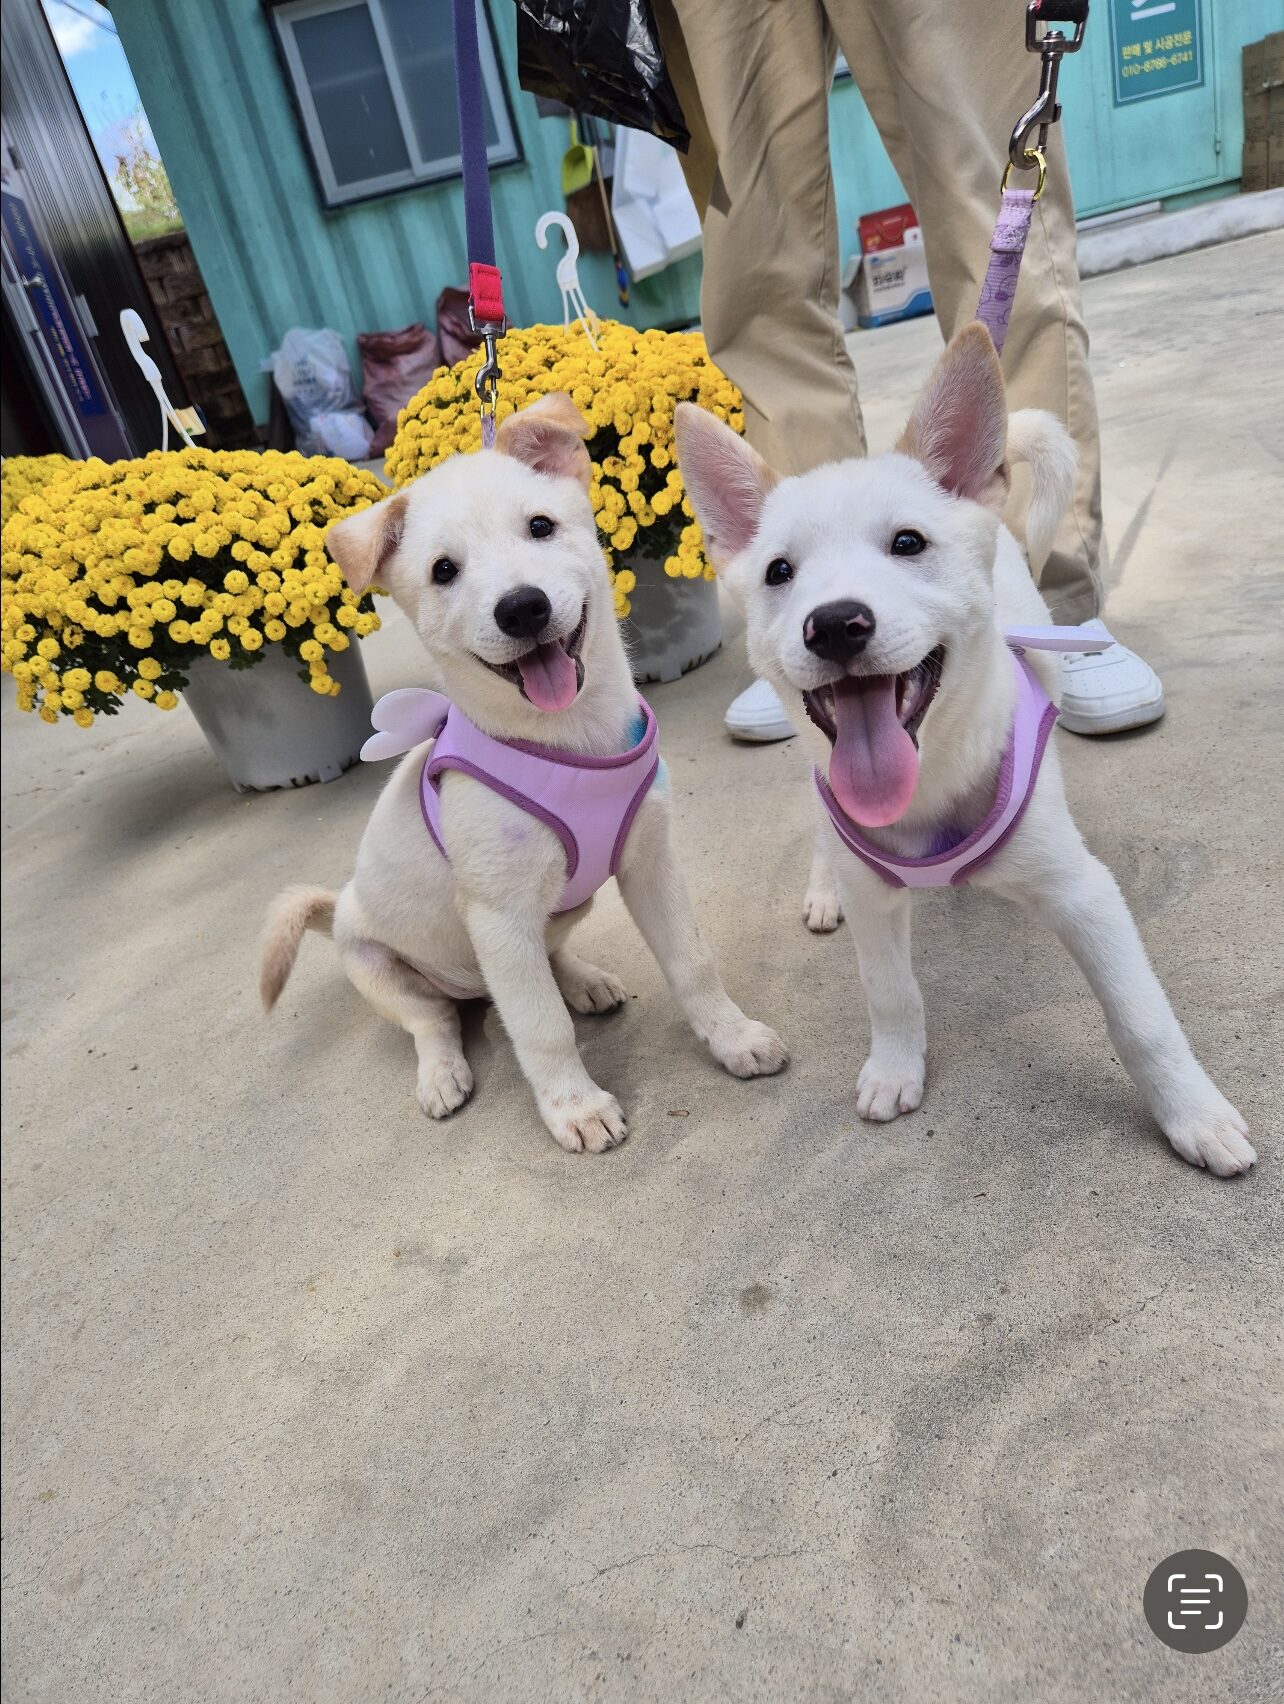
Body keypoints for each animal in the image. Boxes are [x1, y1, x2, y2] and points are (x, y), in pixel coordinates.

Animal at [260, 393, 786, 1154]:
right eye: (443, 571)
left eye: (540, 526)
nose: (522, 608)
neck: (570, 738)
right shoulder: (499, 918)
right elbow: (540, 1028)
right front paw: (575, 1106)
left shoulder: (651, 865)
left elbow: (692, 962)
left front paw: (733, 1038)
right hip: (377, 963)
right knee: (433, 1020)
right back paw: (442, 1071)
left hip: (569, 905)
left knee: (542, 963)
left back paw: (583, 981)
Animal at [674, 324, 1255, 1177]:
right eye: (779, 570)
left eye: (907, 542)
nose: (836, 624)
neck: (928, 779)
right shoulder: (874, 893)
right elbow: (890, 991)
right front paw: (895, 1067)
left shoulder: (1085, 895)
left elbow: (1141, 1017)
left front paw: (1195, 1116)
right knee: (818, 822)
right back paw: (821, 886)